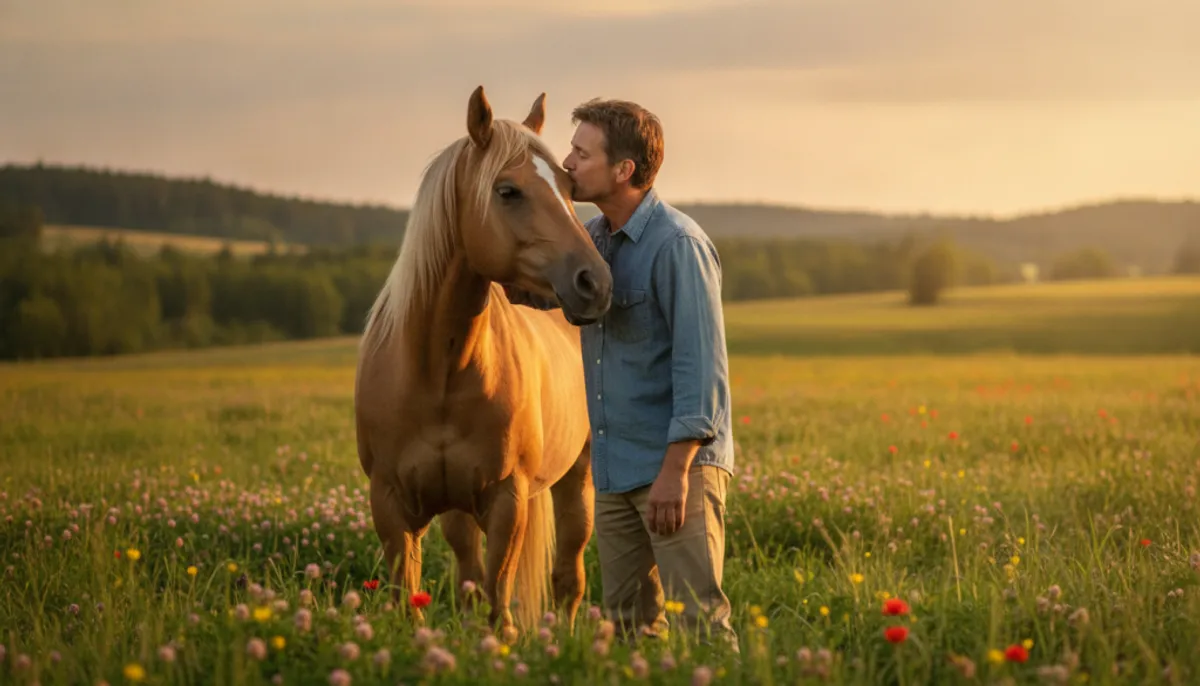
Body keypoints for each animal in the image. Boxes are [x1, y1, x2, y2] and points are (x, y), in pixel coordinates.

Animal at [354, 86, 613, 632]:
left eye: (569, 185)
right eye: (508, 191)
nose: (596, 283)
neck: (438, 371)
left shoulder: (506, 501)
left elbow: (499, 606)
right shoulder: (389, 504)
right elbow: (414, 599)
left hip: (576, 479)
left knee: (568, 578)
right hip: (455, 507)